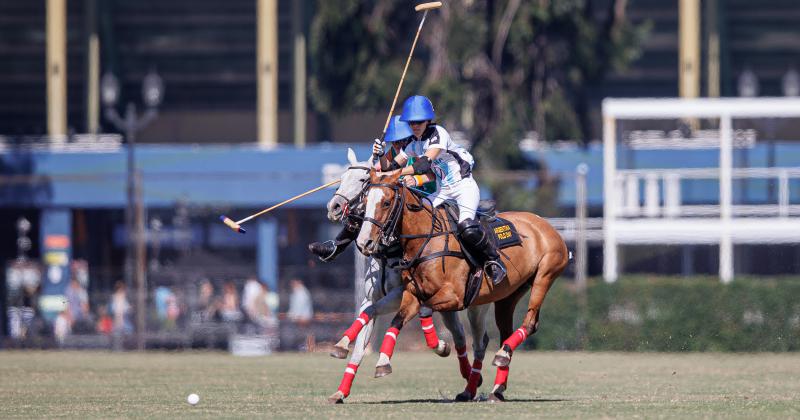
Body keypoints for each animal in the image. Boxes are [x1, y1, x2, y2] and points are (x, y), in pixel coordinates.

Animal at [356, 170, 568, 400]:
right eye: (365, 202)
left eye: (386, 203)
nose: (364, 243)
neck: (426, 240)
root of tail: (544, 223)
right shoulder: (412, 294)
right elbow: (397, 320)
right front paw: (383, 363)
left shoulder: (453, 296)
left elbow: (424, 309)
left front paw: (441, 346)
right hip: (508, 295)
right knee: (505, 331)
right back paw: (496, 386)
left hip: (545, 275)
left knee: (530, 323)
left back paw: (501, 357)